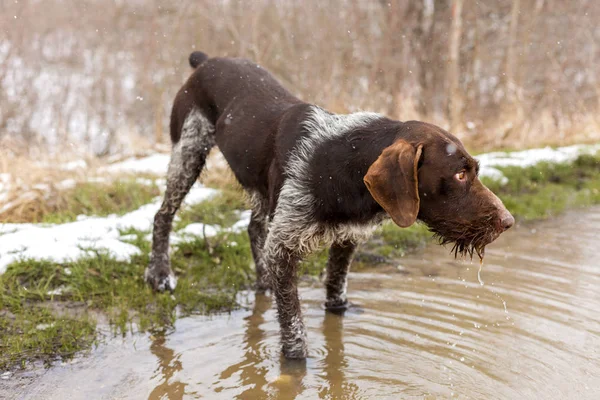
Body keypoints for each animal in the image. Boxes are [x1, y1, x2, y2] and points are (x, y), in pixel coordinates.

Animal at [146, 50, 516, 360]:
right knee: (162, 215)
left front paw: (338, 316)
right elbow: (292, 319)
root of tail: (206, 60)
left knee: (253, 228)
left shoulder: (346, 237)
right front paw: (296, 361)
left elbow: (336, 287)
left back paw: (262, 281)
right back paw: (160, 275)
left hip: (261, 190)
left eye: (474, 170)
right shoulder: (284, 245)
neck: (342, 166)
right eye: (459, 174)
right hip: (188, 151)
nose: (508, 221)